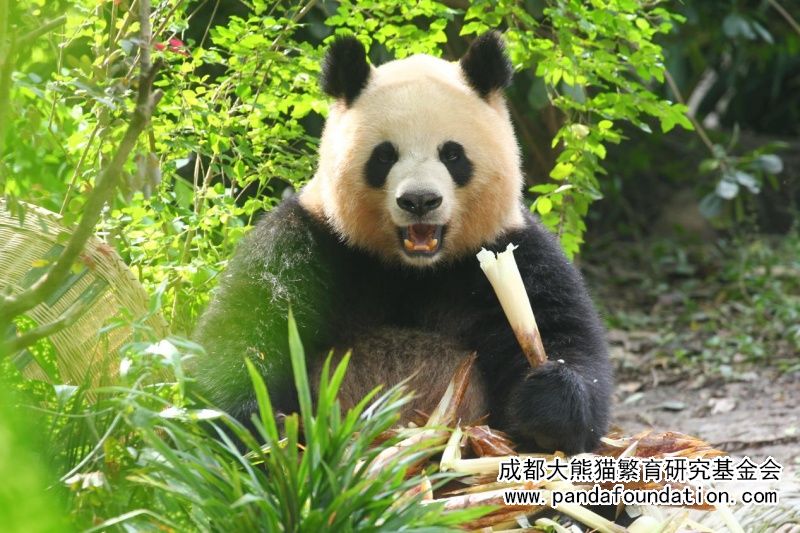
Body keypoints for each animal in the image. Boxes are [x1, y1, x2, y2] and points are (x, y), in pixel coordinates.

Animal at [192, 32, 612, 454]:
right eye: (384, 156)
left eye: (452, 154)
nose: (420, 201)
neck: (412, 269)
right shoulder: (309, 240)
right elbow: (248, 328)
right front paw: (265, 422)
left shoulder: (512, 252)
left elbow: (566, 335)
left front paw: (546, 401)